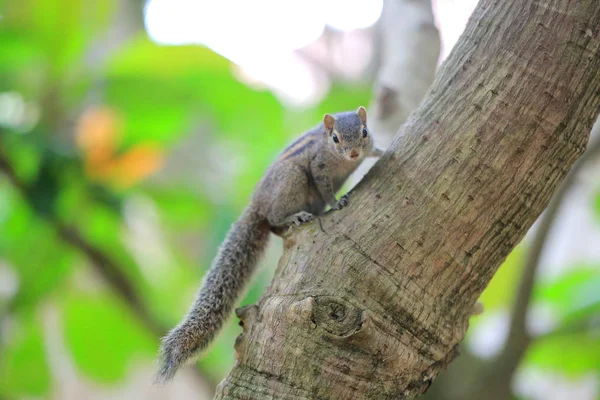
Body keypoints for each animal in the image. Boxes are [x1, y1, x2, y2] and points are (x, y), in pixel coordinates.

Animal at [157, 105, 382, 382]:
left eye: (364, 131)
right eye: (335, 138)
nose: (353, 153)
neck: (341, 159)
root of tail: (257, 203)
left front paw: (381, 152)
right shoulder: (318, 165)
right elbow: (326, 189)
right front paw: (336, 202)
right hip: (292, 181)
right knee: (274, 221)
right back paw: (293, 217)